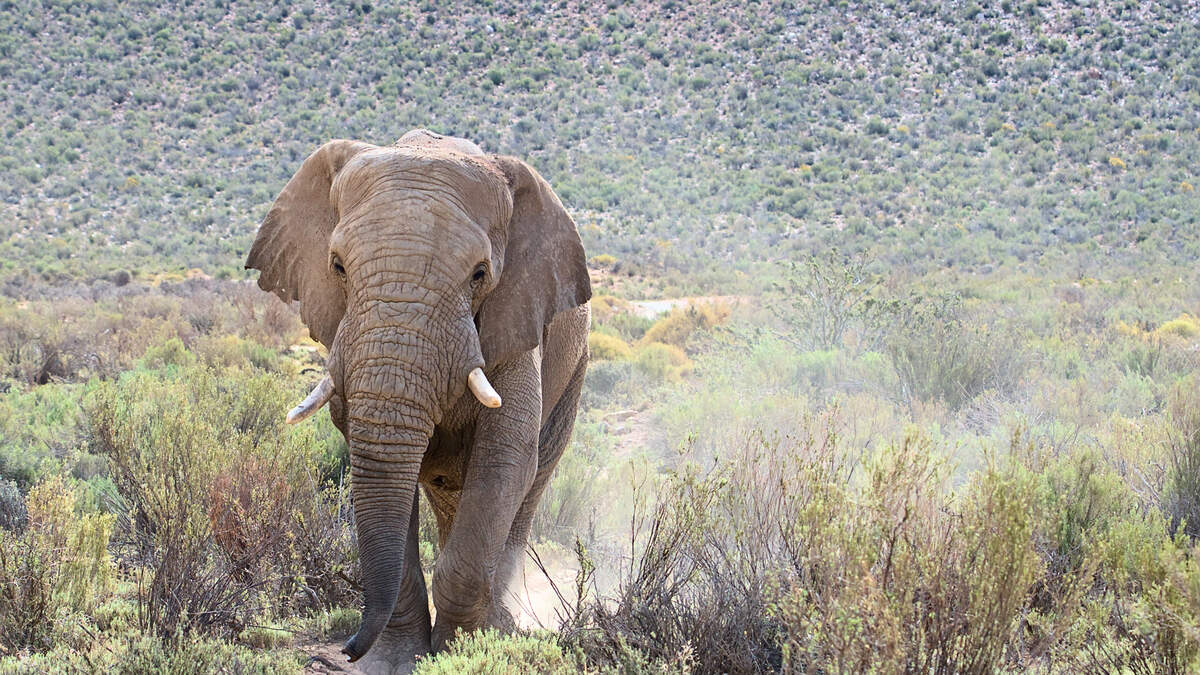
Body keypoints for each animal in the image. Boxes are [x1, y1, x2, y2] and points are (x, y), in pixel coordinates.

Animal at [243, 128, 590, 667]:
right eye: (338, 266)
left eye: (479, 274)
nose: (345, 651)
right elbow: (376, 462)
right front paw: (397, 662)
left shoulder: (517, 315)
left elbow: (505, 457)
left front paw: (459, 654)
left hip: (574, 370)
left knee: (529, 485)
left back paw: (501, 624)